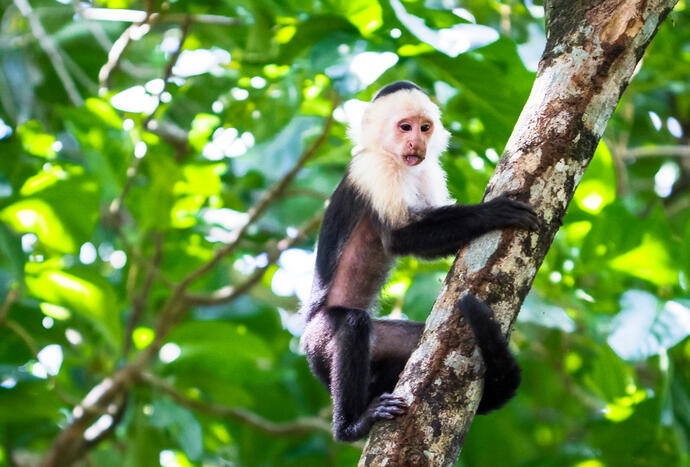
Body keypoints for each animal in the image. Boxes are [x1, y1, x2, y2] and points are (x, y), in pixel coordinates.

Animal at [298, 80, 540, 442]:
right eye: (405, 127)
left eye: (425, 128)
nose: (416, 142)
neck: (393, 159)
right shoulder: (376, 170)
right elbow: (401, 238)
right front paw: (493, 212)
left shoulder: (427, 170)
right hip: (318, 338)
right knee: (352, 324)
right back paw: (351, 426)